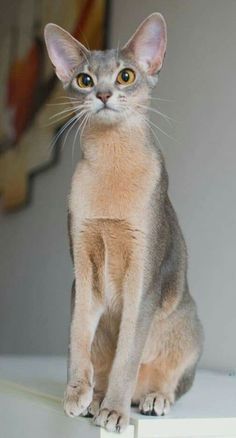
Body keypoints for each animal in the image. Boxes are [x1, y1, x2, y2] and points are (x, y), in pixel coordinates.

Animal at [45, 12, 204, 432]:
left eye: (126, 76)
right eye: (85, 79)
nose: (102, 94)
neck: (111, 163)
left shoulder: (143, 276)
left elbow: (127, 355)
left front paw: (115, 412)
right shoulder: (82, 269)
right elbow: (78, 335)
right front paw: (77, 392)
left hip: (188, 325)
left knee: (172, 381)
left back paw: (150, 398)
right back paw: (95, 396)